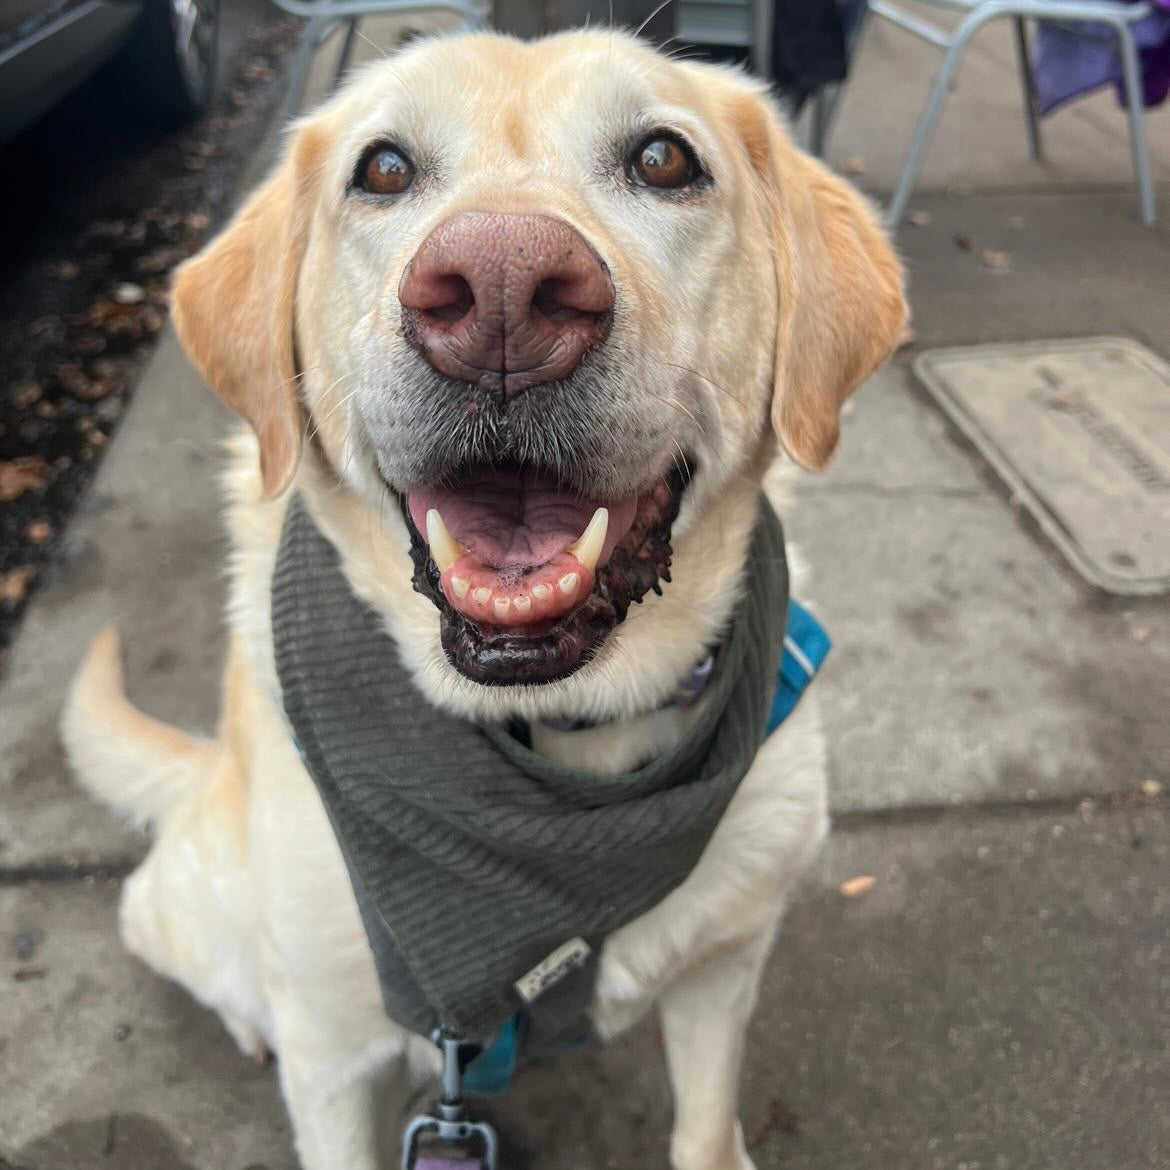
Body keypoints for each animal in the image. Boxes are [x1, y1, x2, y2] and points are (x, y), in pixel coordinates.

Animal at [61, 25, 903, 1170]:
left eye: (664, 160)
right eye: (382, 170)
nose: (503, 288)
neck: (556, 740)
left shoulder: (723, 972)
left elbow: (702, 1129)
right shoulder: (332, 1062)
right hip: (203, 911)